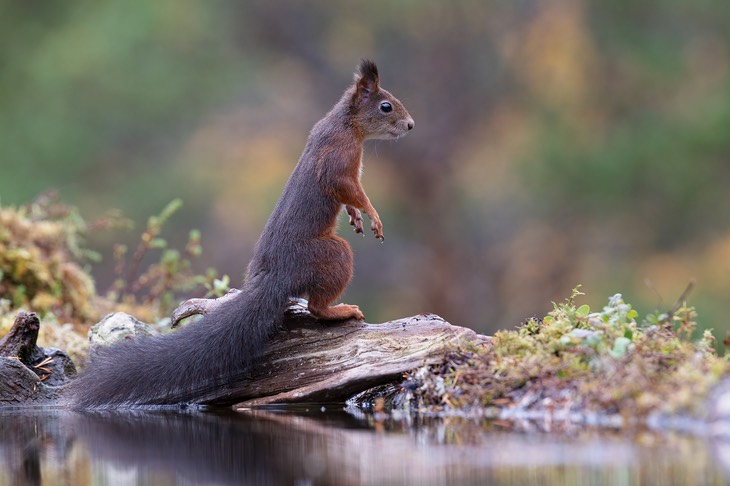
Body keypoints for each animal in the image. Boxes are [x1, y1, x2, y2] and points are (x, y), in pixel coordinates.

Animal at [70, 60, 412, 410]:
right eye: (386, 106)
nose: (411, 125)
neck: (347, 123)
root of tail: (276, 276)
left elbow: (350, 199)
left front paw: (356, 216)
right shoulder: (338, 158)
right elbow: (347, 187)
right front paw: (372, 214)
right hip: (333, 254)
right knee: (317, 306)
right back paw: (340, 310)